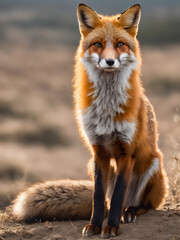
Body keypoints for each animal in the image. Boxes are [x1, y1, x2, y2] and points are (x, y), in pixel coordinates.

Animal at [12, 3, 167, 238]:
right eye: (97, 44)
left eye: (120, 44)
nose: (110, 61)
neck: (106, 109)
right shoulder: (98, 152)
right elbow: (99, 198)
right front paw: (95, 225)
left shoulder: (126, 152)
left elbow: (117, 195)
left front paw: (111, 228)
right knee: (109, 202)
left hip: (152, 165)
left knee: (141, 204)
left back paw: (130, 212)